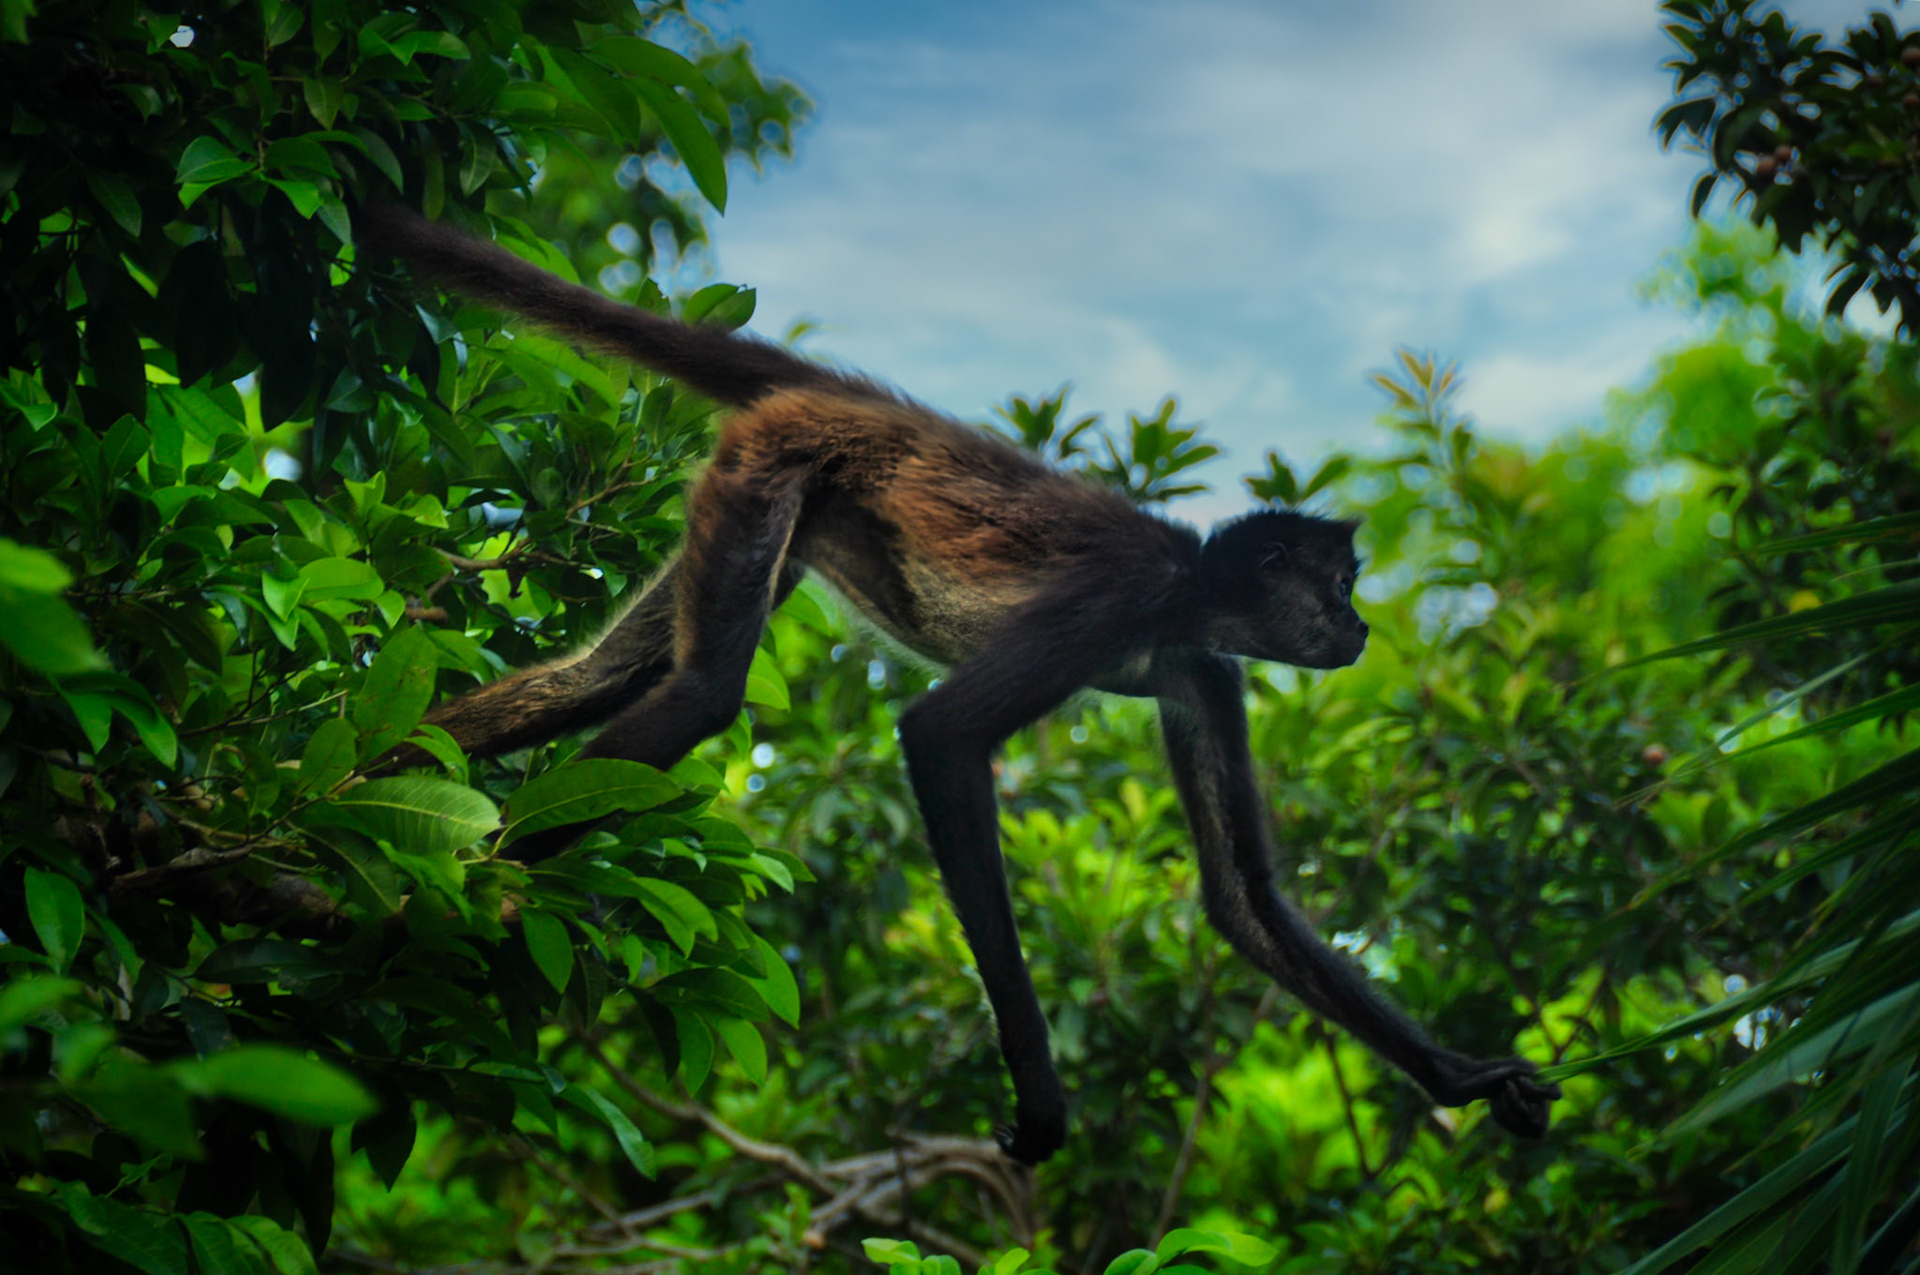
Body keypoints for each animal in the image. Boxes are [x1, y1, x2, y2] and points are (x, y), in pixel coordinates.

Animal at [355, 204, 1562, 1165]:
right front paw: (1040, 1097)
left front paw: (1465, 1078)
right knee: (699, 694)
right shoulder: (1111, 603)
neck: (1184, 594)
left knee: (600, 676)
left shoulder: (1202, 671)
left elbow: (1244, 901)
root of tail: (864, 405)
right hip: (771, 467)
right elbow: (939, 737)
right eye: (1344, 584)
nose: (1359, 626)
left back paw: (346, 801)